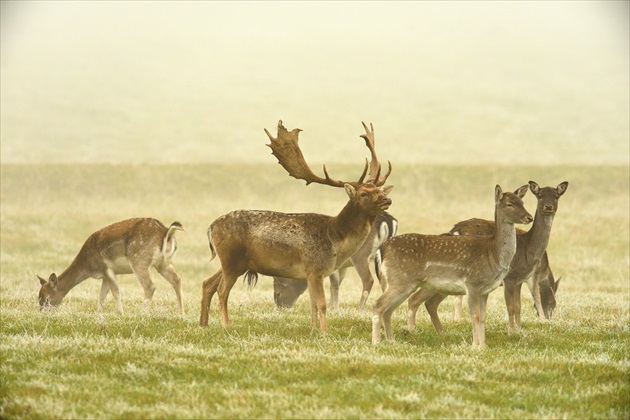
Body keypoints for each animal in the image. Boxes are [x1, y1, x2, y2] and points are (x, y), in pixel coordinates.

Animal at [37, 218, 185, 314]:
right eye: (39, 298)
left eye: (47, 299)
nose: (43, 312)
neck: (88, 264)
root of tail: (166, 233)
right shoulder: (104, 275)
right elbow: (102, 294)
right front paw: (98, 313)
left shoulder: (106, 267)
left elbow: (115, 291)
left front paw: (121, 313)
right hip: (164, 263)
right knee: (177, 280)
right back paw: (181, 313)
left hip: (139, 260)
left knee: (150, 286)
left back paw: (142, 314)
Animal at [272, 212, 400, 310]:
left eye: (278, 293)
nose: (281, 308)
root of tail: (388, 221)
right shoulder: (342, 267)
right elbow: (336, 283)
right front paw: (332, 306)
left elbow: (334, 284)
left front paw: (333, 308)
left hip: (361, 256)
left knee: (368, 279)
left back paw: (360, 308)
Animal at [376, 184, 532, 348]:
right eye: (509, 204)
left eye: (522, 202)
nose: (529, 217)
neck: (492, 253)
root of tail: (382, 248)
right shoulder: (472, 283)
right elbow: (474, 316)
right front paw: (475, 346)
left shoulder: (485, 290)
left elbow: (483, 317)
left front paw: (483, 346)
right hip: (400, 280)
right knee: (379, 305)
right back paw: (377, 341)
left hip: (400, 283)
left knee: (388, 309)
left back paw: (391, 340)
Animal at [408, 180, 572, 334]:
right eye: (540, 195)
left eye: (556, 196)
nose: (549, 207)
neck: (531, 251)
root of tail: (454, 229)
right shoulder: (514, 277)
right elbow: (520, 302)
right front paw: (512, 331)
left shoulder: (519, 279)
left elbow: (518, 306)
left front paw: (519, 330)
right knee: (418, 299)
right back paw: (413, 330)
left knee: (433, 302)